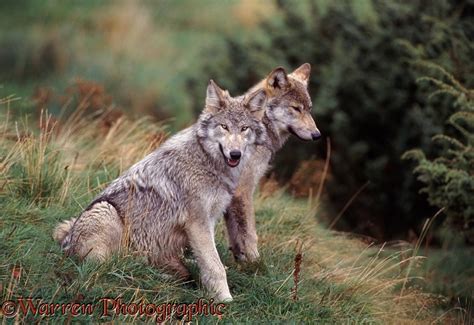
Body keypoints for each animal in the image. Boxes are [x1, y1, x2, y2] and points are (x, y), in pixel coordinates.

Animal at [54, 79, 268, 302]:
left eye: (244, 128)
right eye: (224, 127)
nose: (235, 154)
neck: (206, 160)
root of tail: (66, 243)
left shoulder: (208, 220)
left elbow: (209, 262)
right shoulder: (197, 223)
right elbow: (215, 266)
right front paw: (225, 299)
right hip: (106, 211)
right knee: (115, 264)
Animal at [224, 64, 320, 264]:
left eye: (309, 109)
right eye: (296, 109)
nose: (317, 135)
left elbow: (235, 233)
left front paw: (240, 259)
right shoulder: (243, 190)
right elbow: (250, 233)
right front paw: (256, 263)